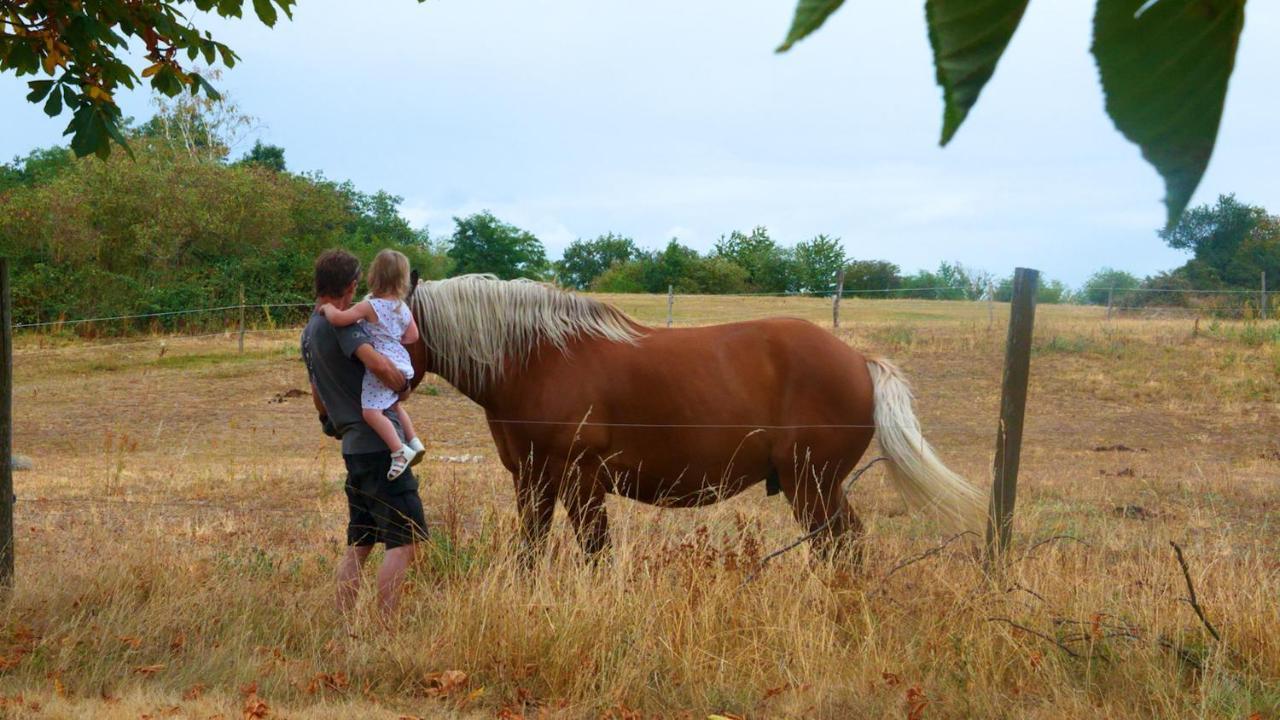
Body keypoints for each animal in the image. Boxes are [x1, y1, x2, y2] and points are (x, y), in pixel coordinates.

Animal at [404, 274, 983, 561]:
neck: (541, 358)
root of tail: (859, 360)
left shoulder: (581, 481)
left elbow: (594, 554)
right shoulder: (532, 480)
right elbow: (529, 550)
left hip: (812, 484)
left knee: (840, 547)